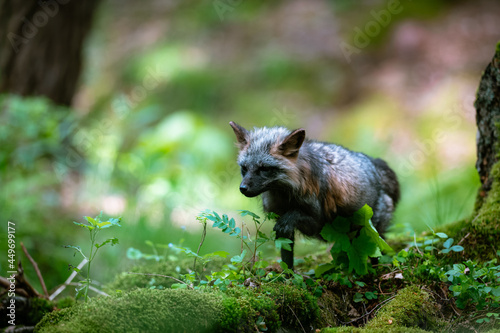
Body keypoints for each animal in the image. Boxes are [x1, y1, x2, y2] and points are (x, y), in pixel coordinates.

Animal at [229, 120, 398, 268]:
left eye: (264, 169)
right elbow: (286, 259)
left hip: (369, 233)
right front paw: (288, 278)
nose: (243, 188)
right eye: (244, 168)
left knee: (377, 253)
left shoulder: (318, 222)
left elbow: (292, 217)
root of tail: (376, 164)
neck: (287, 195)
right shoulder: (283, 223)